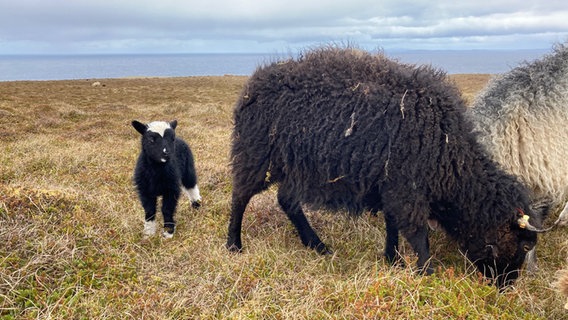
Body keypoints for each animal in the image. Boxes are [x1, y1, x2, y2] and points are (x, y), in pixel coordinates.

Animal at [225, 47, 544, 288]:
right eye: (524, 246)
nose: (506, 287)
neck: (450, 160)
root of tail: (251, 86)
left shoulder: (391, 186)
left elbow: (393, 225)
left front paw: (394, 260)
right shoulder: (406, 189)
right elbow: (417, 233)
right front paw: (426, 274)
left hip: (296, 166)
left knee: (287, 200)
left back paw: (317, 245)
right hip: (255, 153)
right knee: (240, 196)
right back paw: (234, 245)